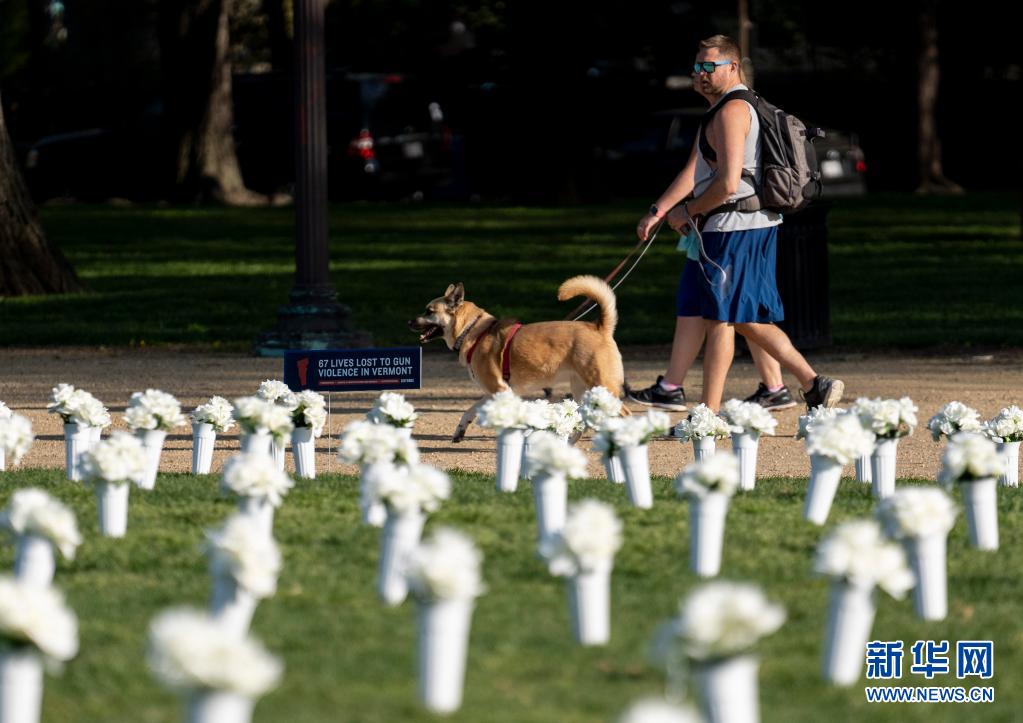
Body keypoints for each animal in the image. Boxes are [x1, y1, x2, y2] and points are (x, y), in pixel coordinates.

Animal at [408, 275, 627, 442]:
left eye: (429, 311)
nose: (408, 322)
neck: (472, 331)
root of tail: (600, 327)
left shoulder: (500, 390)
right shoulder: (493, 391)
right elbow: (468, 411)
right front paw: (459, 431)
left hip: (602, 386)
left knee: (625, 414)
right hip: (583, 390)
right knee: (585, 422)